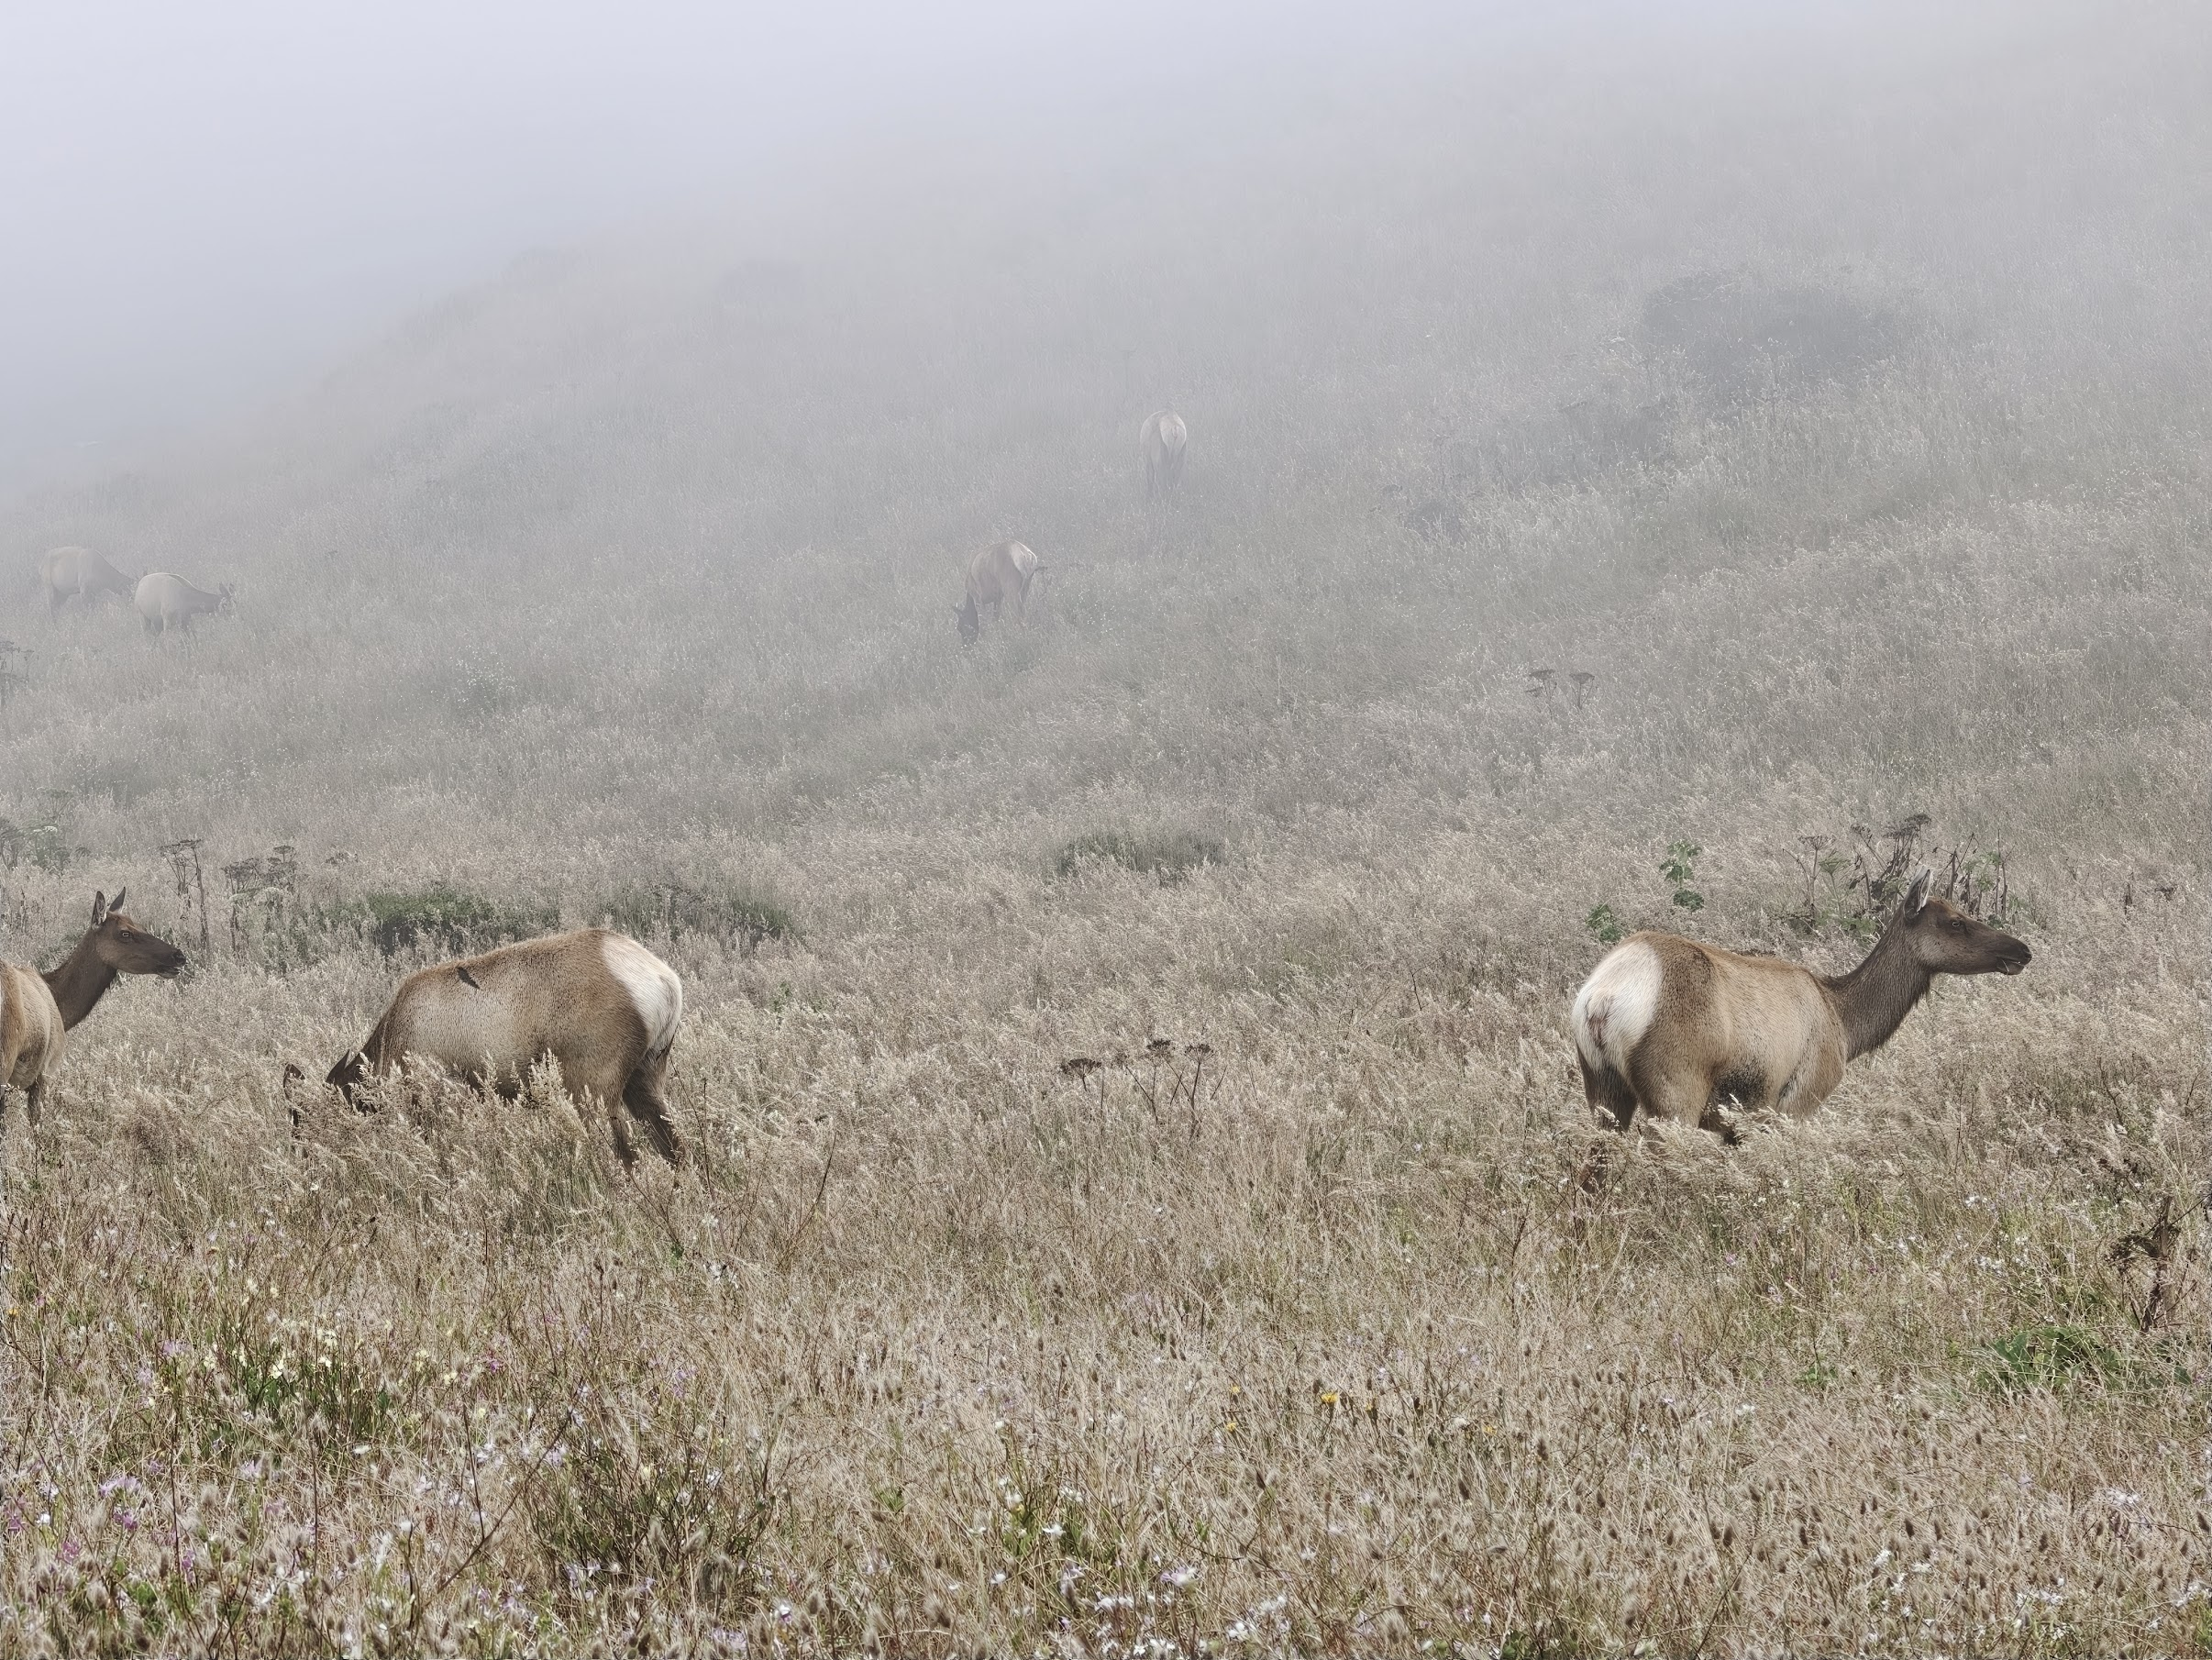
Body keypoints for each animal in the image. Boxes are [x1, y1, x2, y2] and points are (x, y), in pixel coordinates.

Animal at [321, 928, 684, 1166]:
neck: (393, 1041)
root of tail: (666, 982)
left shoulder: (446, 1090)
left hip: (592, 1084)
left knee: (621, 1152)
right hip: (646, 1073)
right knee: (672, 1143)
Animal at [1571, 868, 2030, 1137]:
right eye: (1955, 922)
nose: (2022, 950)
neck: (1845, 1023)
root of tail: (1601, 999)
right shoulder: (1799, 1101)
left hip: (1602, 1087)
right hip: (1674, 1090)